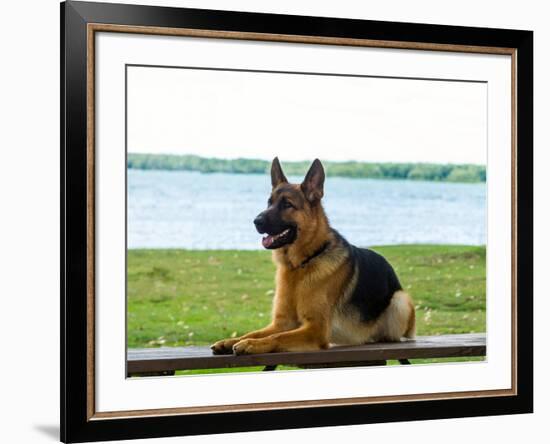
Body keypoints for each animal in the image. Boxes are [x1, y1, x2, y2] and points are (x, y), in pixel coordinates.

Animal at [213, 158, 416, 356]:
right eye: (269, 203)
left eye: (287, 204)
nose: (256, 221)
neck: (301, 264)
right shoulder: (281, 323)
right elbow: (254, 332)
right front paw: (232, 340)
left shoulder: (315, 329)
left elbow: (276, 337)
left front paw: (251, 344)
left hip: (400, 300)